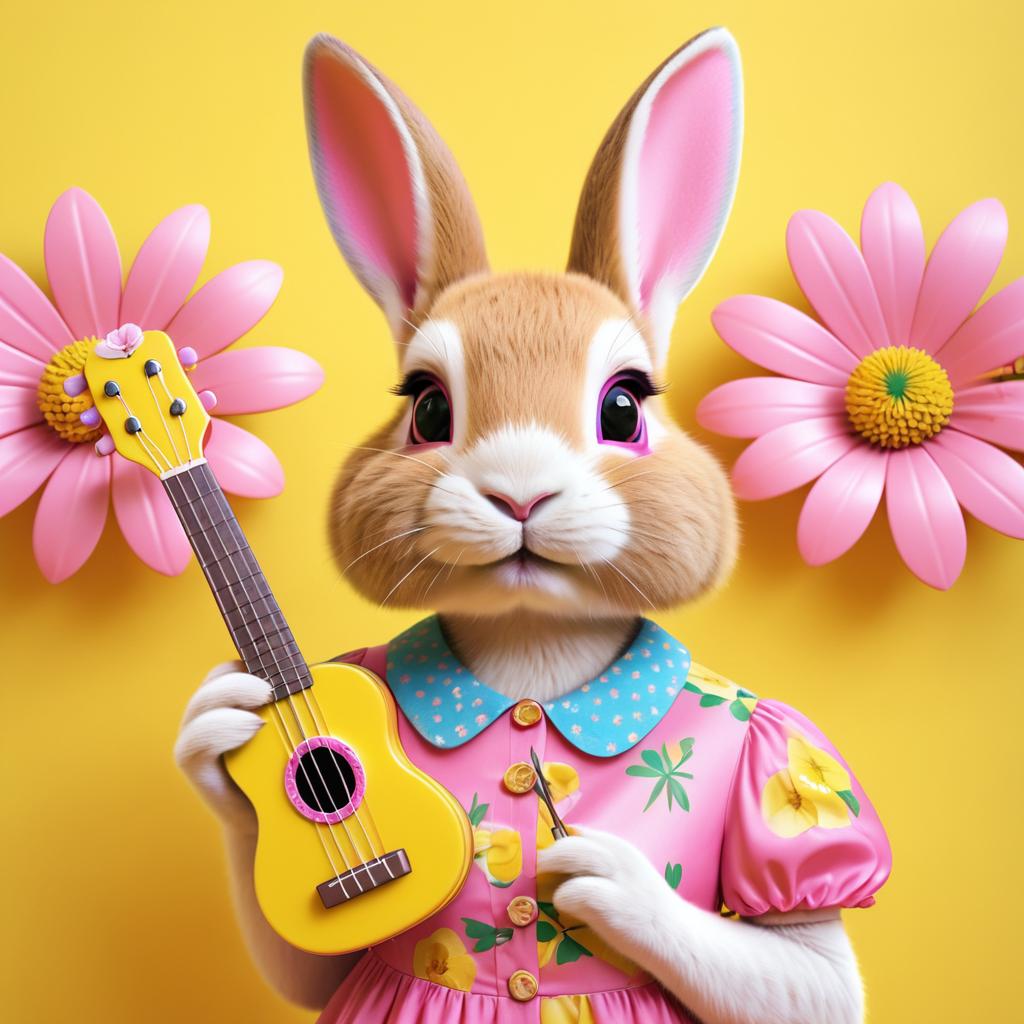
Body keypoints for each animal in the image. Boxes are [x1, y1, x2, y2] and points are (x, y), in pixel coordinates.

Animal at [176, 25, 888, 1024]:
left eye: (625, 406)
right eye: (427, 408)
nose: (518, 493)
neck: (533, 654)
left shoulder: (789, 790)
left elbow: (813, 977)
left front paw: (614, 884)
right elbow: (306, 968)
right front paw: (217, 729)